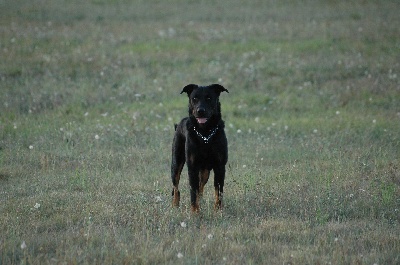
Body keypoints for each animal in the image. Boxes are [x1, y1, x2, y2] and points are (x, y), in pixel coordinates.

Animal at [170, 83, 230, 211]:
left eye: (209, 98)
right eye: (194, 98)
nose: (200, 111)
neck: (205, 134)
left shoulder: (220, 166)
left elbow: (218, 191)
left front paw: (218, 210)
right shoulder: (192, 167)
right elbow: (193, 192)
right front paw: (195, 212)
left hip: (205, 171)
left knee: (201, 187)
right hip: (176, 163)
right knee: (176, 186)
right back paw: (175, 205)